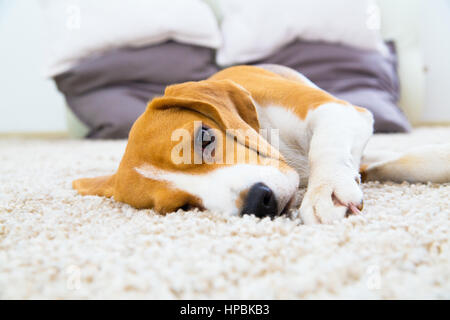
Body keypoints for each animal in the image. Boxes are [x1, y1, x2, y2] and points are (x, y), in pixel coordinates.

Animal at [72, 64, 448, 225]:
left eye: (205, 137)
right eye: (182, 207)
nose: (258, 201)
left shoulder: (337, 111)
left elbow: (329, 149)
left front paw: (326, 191)